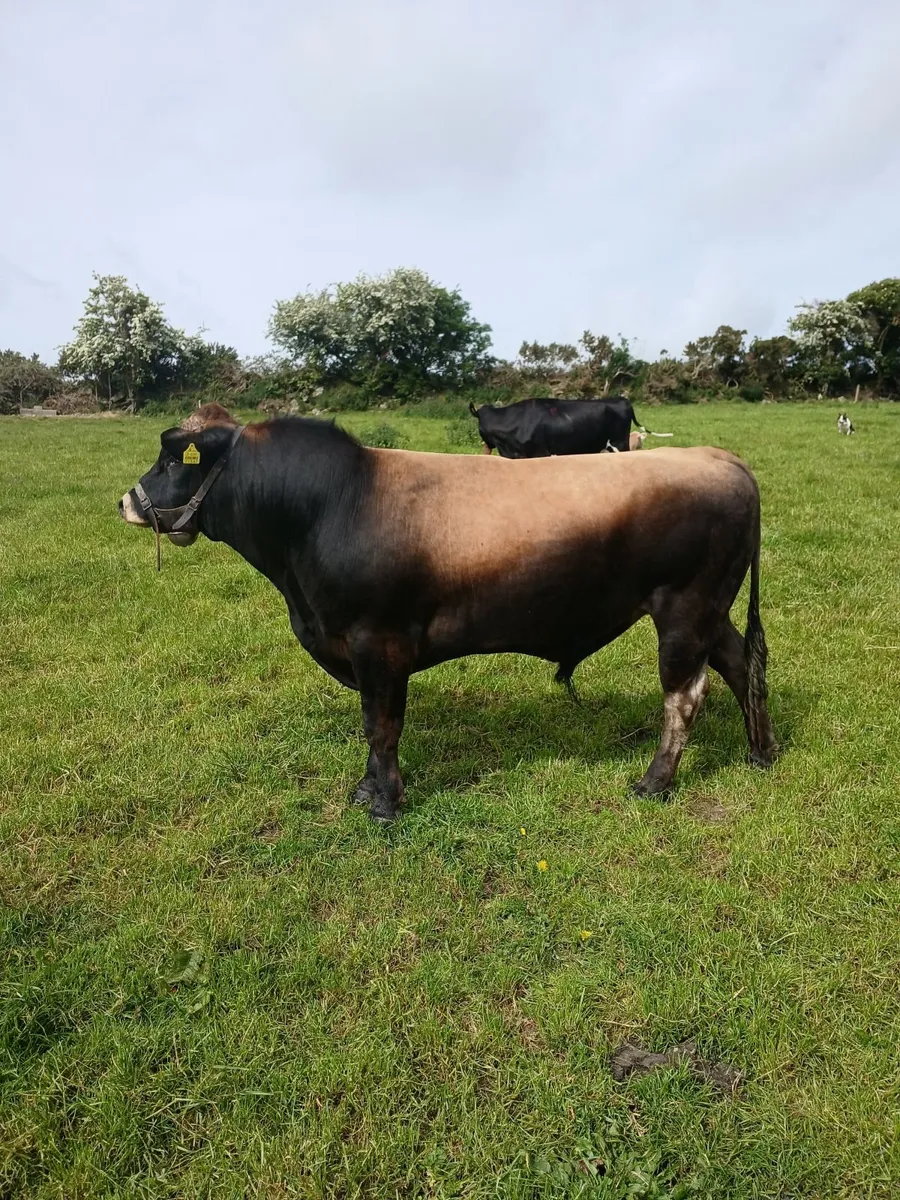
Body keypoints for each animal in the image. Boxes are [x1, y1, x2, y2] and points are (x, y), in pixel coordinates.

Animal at [119, 404, 777, 824]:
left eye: (175, 459)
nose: (127, 500)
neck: (330, 506)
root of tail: (721, 459)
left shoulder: (377, 643)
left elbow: (381, 726)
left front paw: (385, 804)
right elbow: (372, 726)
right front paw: (366, 791)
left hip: (684, 610)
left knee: (684, 696)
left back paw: (654, 782)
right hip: (711, 611)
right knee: (741, 664)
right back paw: (761, 751)